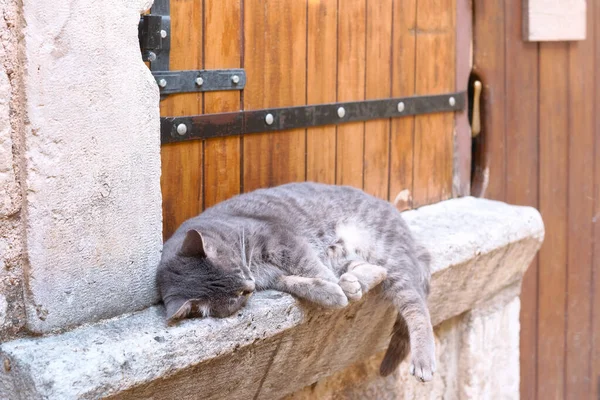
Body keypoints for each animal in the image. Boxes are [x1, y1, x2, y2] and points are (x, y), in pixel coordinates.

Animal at [155, 181, 436, 382]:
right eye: (235, 297)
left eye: (237, 267)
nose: (250, 286)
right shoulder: (275, 276)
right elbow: (298, 282)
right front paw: (330, 292)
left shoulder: (282, 240)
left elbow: (309, 265)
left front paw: (334, 289)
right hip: (352, 257)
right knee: (376, 272)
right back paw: (354, 282)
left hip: (389, 252)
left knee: (416, 306)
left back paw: (423, 360)